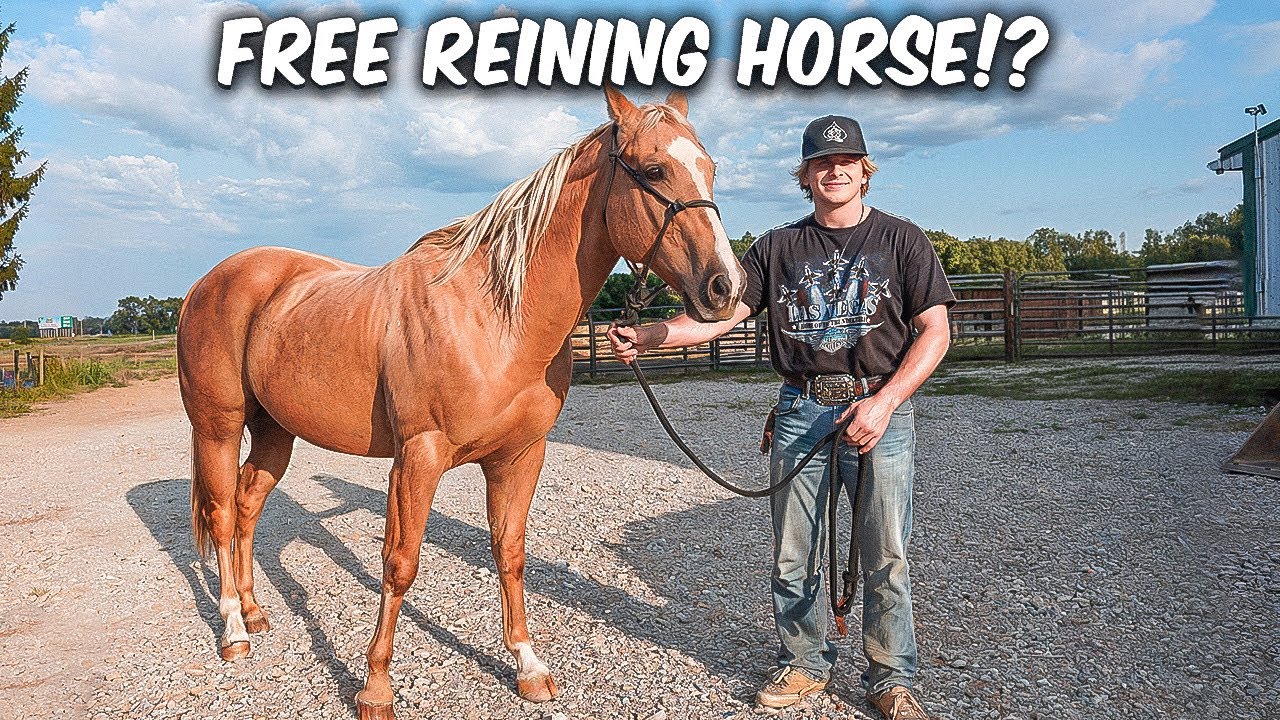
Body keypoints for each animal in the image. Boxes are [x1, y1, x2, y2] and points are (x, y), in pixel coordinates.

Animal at [176, 87, 745, 720]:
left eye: (710, 168)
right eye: (653, 170)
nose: (727, 287)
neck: (493, 317)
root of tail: (208, 282)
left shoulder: (519, 457)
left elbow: (510, 553)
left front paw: (529, 667)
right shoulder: (418, 459)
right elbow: (400, 564)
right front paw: (375, 688)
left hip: (276, 430)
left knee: (248, 506)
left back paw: (255, 613)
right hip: (218, 428)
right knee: (223, 514)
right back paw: (234, 631)